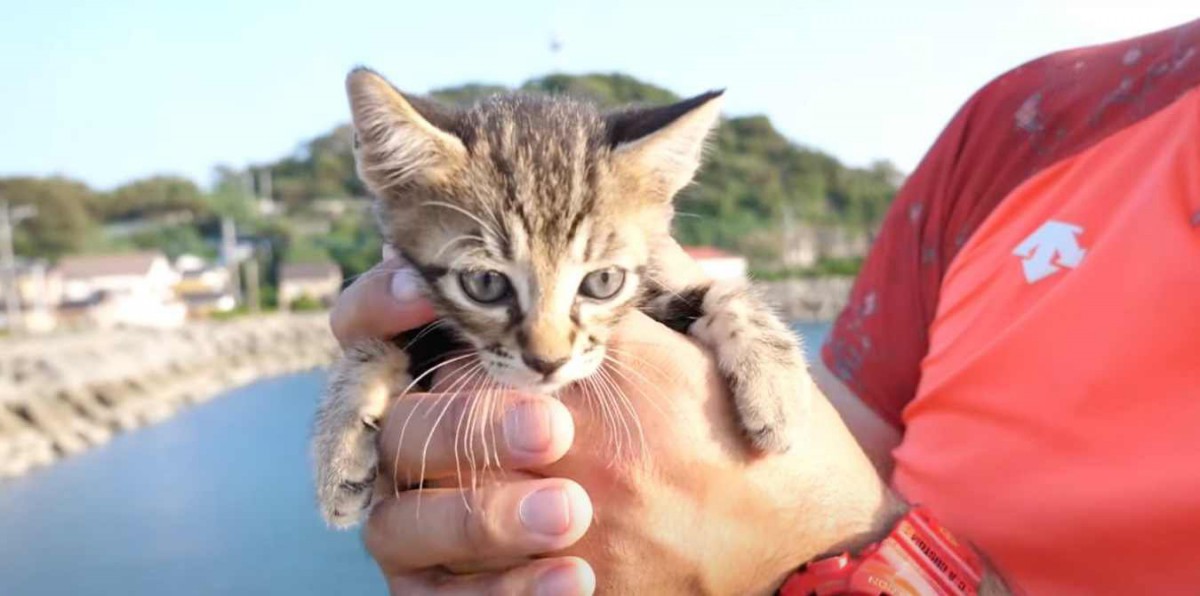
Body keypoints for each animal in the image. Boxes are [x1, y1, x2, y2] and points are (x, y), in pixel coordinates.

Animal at [314, 67, 811, 527]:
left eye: (603, 281)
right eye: (486, 284)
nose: (548, 361)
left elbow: (724, 292)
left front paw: (778, 389)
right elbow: (374, 348)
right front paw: (339, 450)